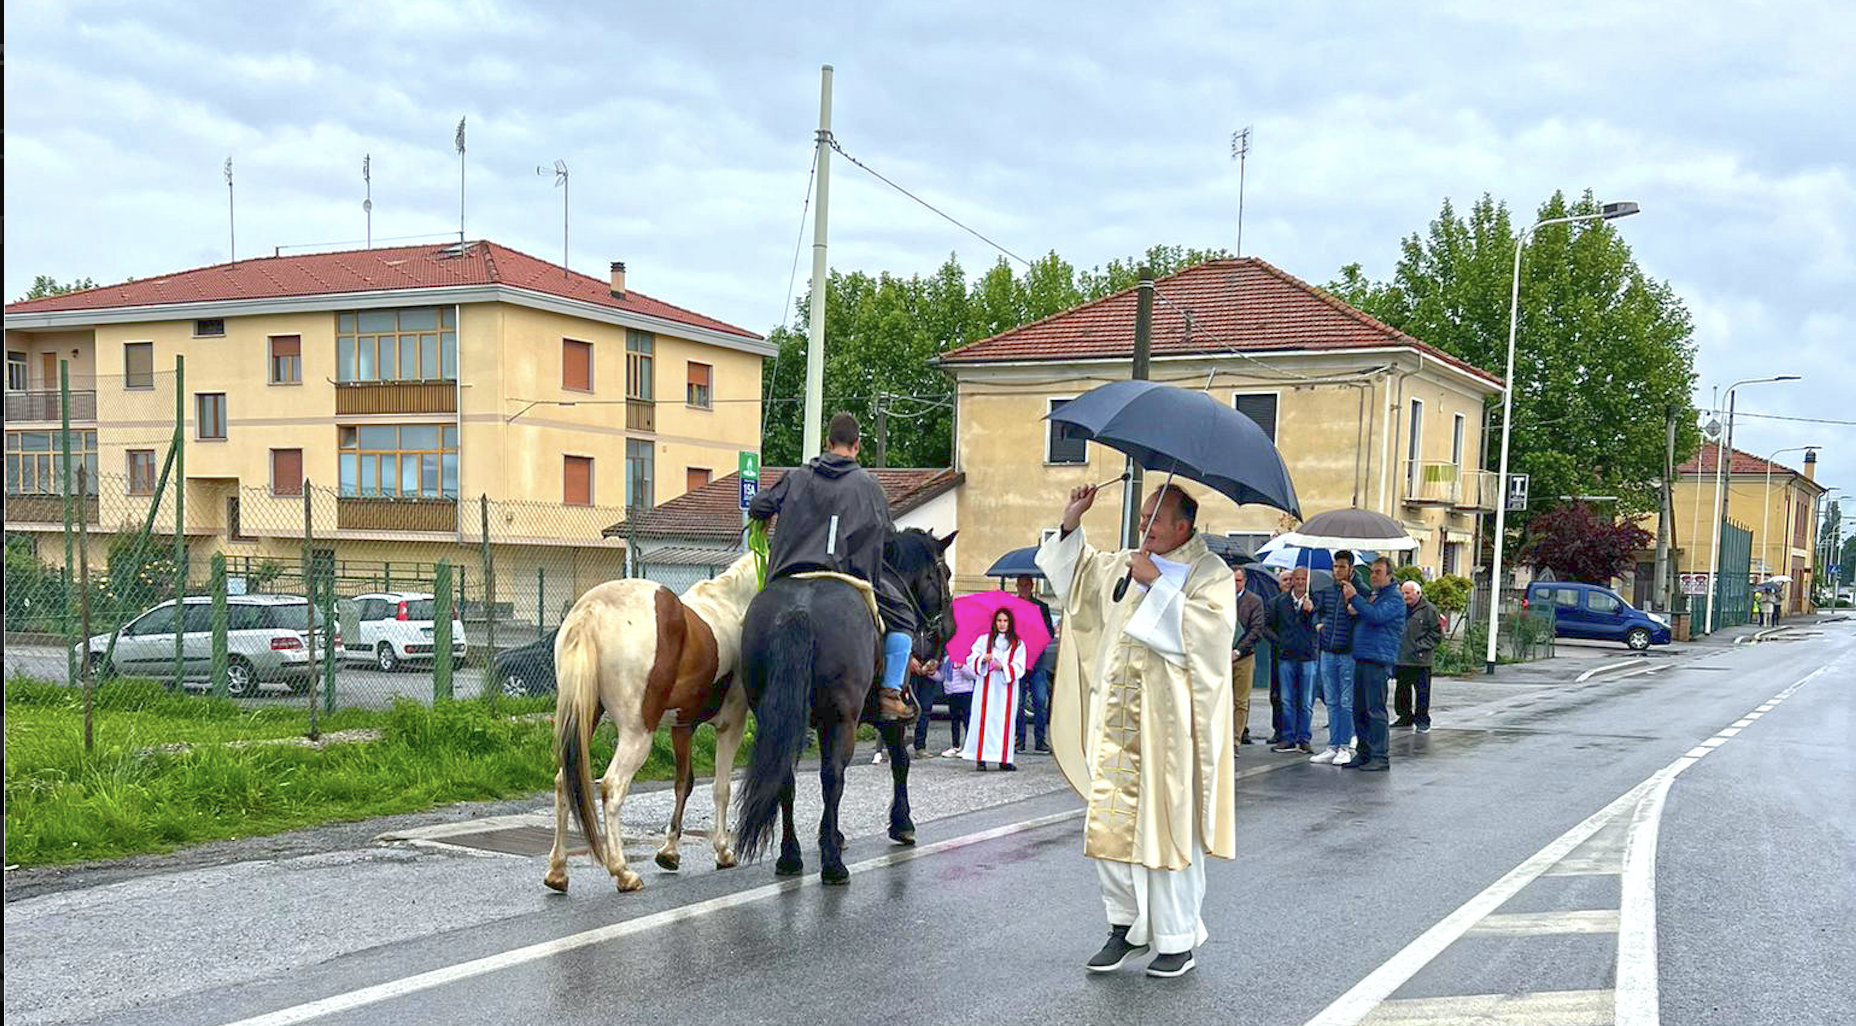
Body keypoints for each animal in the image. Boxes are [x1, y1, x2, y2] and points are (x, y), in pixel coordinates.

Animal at [541, 549, 760, 890]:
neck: (733, 605)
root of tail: (591, 611)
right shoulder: (731, 725)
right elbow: (721, 787)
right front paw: (723, 850)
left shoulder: (682, 727)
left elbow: (684, 783)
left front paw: (669, 852)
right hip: (636, 734)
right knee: (613, 786)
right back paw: (622, 872)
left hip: (583, 719)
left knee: (564, 781)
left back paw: (557, 871)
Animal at [727, 526, 957, 879]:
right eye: (944, 572)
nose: (949, 629)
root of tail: (798, 610)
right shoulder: (884, 720)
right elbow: (900, 762)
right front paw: (901, 824)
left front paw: (832, 834)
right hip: (843, 720)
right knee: (833, 776)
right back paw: (833, 864)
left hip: (783, 718)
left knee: (787, 778)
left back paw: (790, 856)